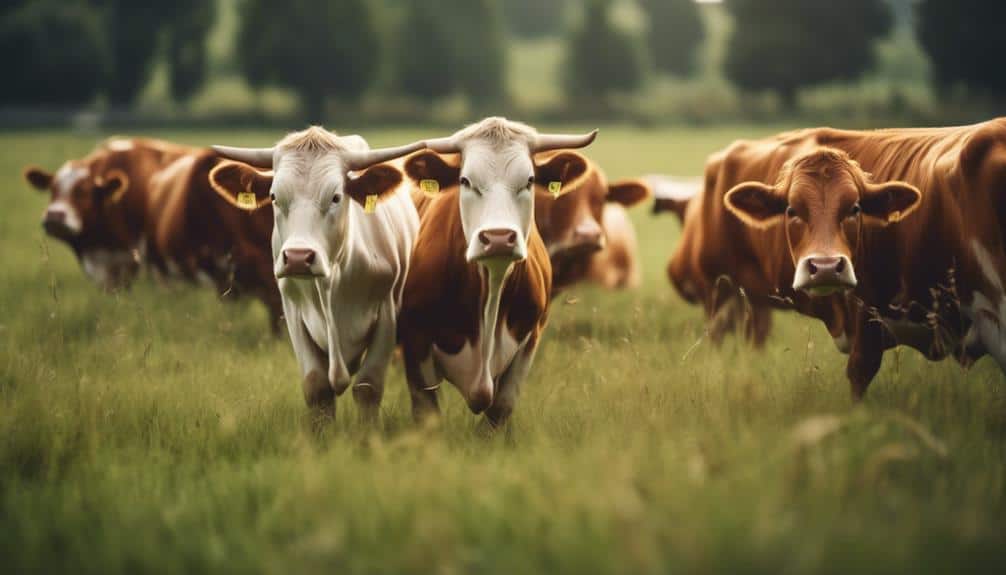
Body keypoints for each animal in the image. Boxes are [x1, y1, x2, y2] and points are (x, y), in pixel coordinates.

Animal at [209, 127, 424, 419]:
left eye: (336, 197)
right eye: (274, 197)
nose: (298, 258)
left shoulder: (387, 312)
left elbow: (368, 387)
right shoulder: (293, 312)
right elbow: (317, 386)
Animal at [397, 118, 598, 425]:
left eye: (529, 181)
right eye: (465, 181)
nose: (499, 237)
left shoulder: (530, 338)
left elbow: (501, 408)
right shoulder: (415, 339)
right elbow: (427, 412)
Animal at [668, 119, 1006, 398]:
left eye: (854, 208)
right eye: (791, 210)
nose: (826, 268)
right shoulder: (867, 310)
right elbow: (860, 372)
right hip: (720, 292)